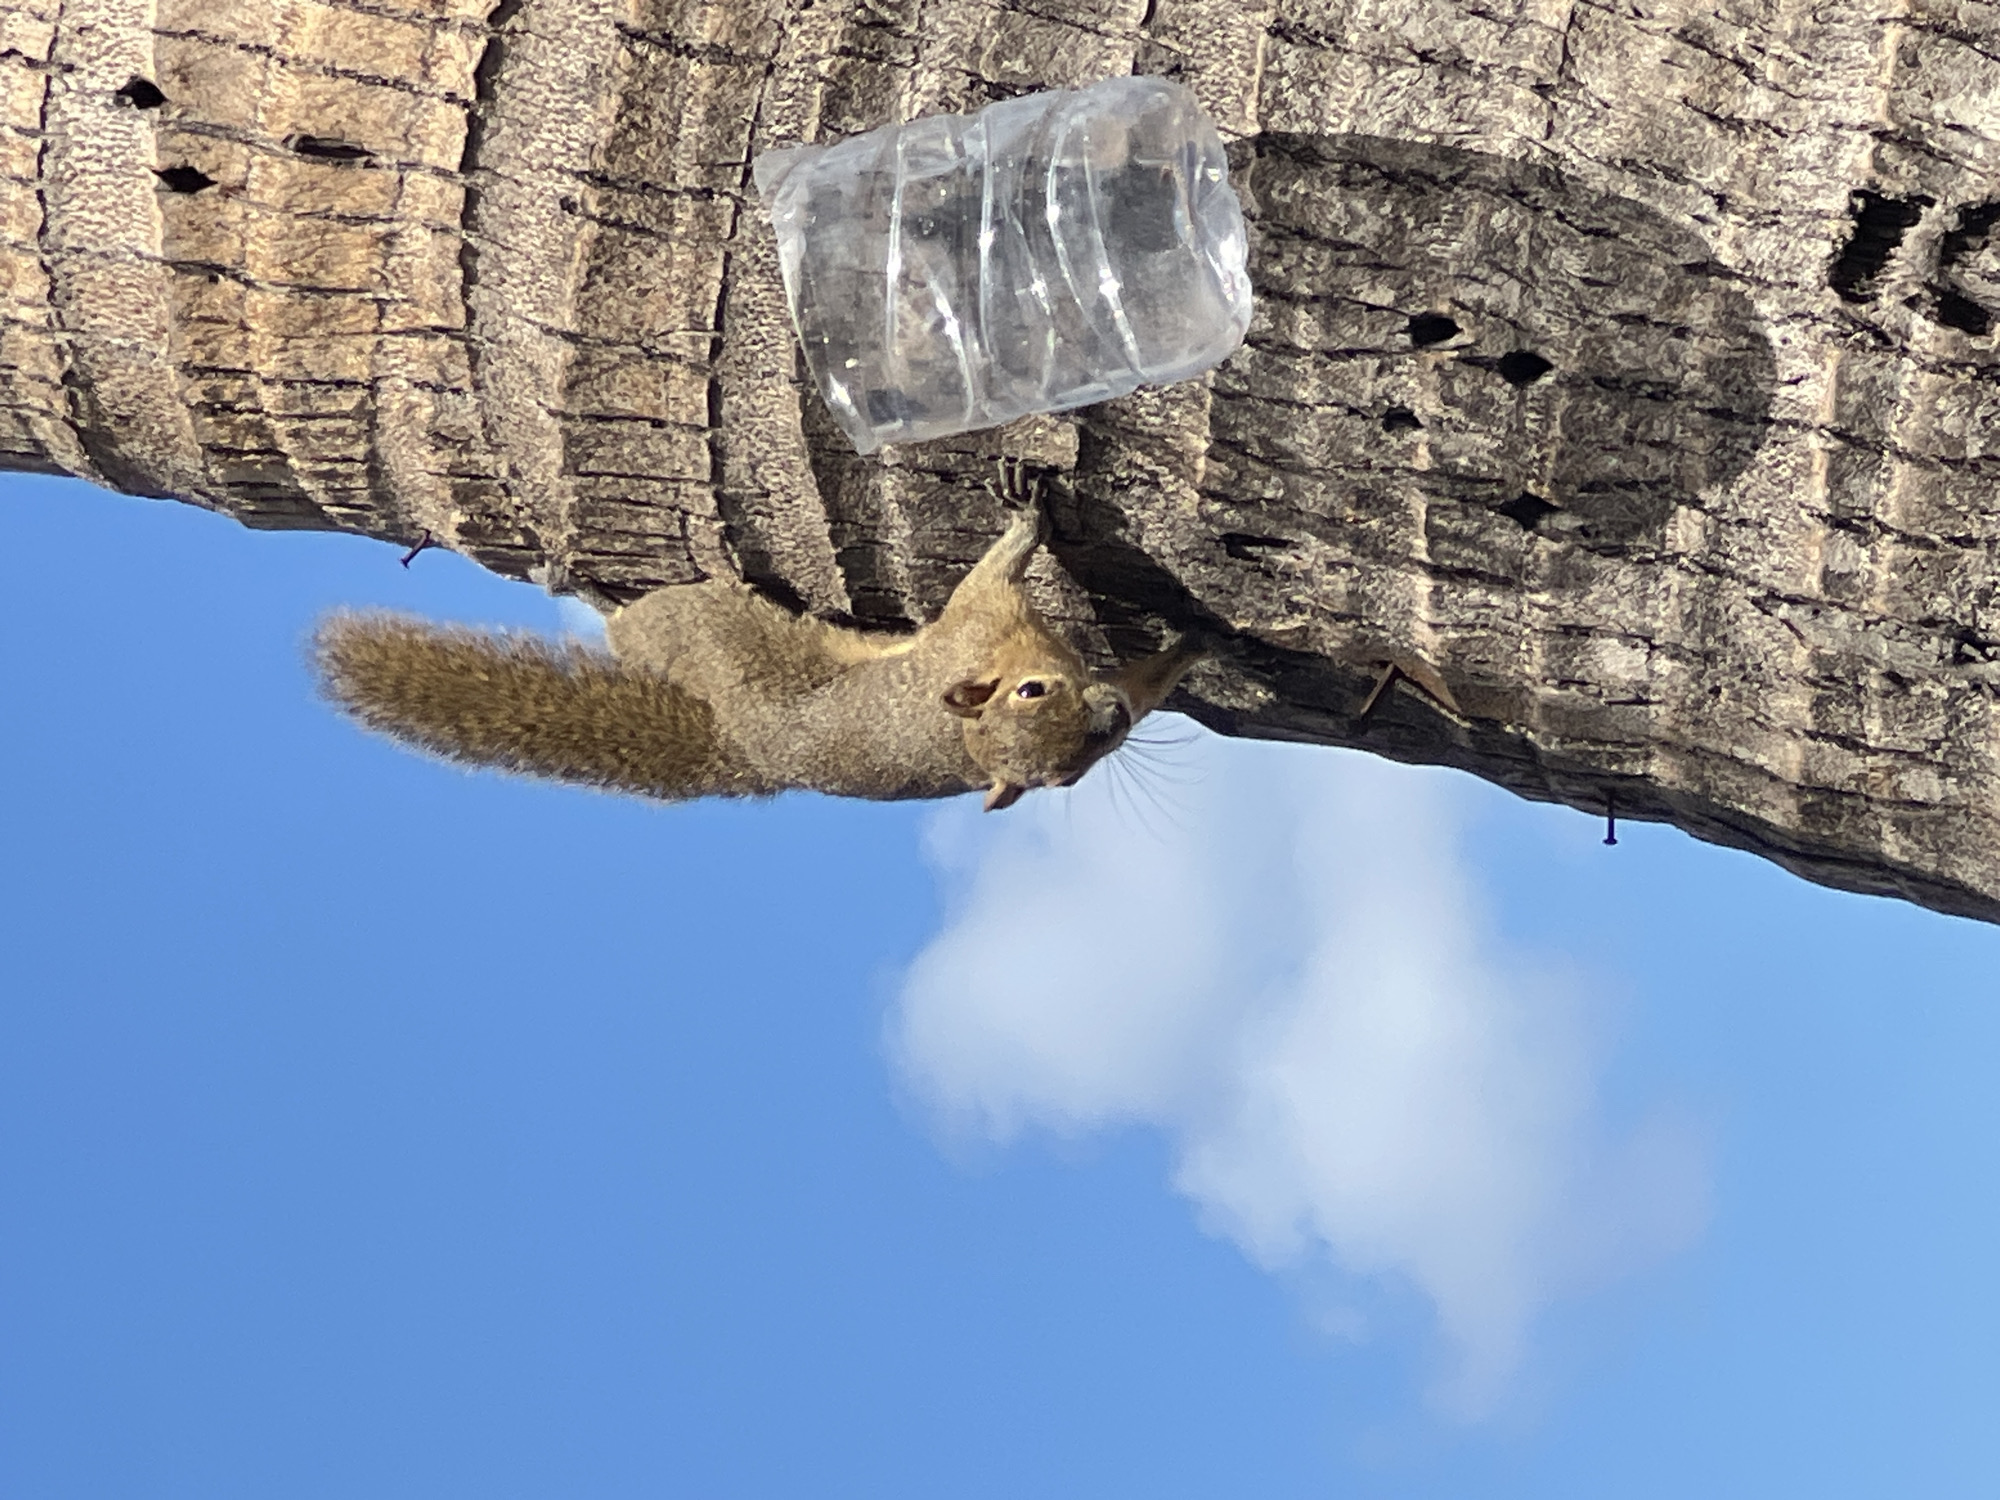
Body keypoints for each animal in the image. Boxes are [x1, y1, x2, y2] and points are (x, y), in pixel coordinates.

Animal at [314, 461, 1208, 811]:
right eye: (1031, 693)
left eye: (1071, 776)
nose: (1109, 723)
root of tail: (737, 750)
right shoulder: (977, 624)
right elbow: (993, 572)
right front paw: (1027, 512)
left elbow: (1144, 681)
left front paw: (1197, 645)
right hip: (695, 611)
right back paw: (572, 574)